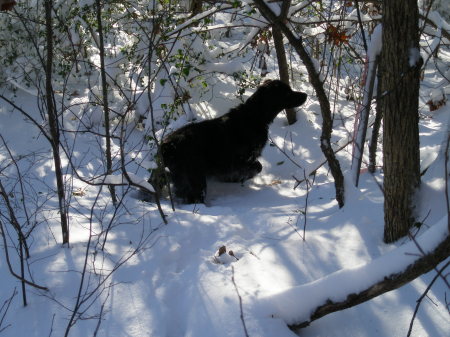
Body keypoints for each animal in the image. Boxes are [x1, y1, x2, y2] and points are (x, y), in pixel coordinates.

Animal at [151, 79, 306, 202]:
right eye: (287, 93)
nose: (305, 94)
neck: (254, 117)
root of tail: (167, 145)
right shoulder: (239, 159)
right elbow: (257, 166)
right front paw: (242, 178)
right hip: (194, 178)